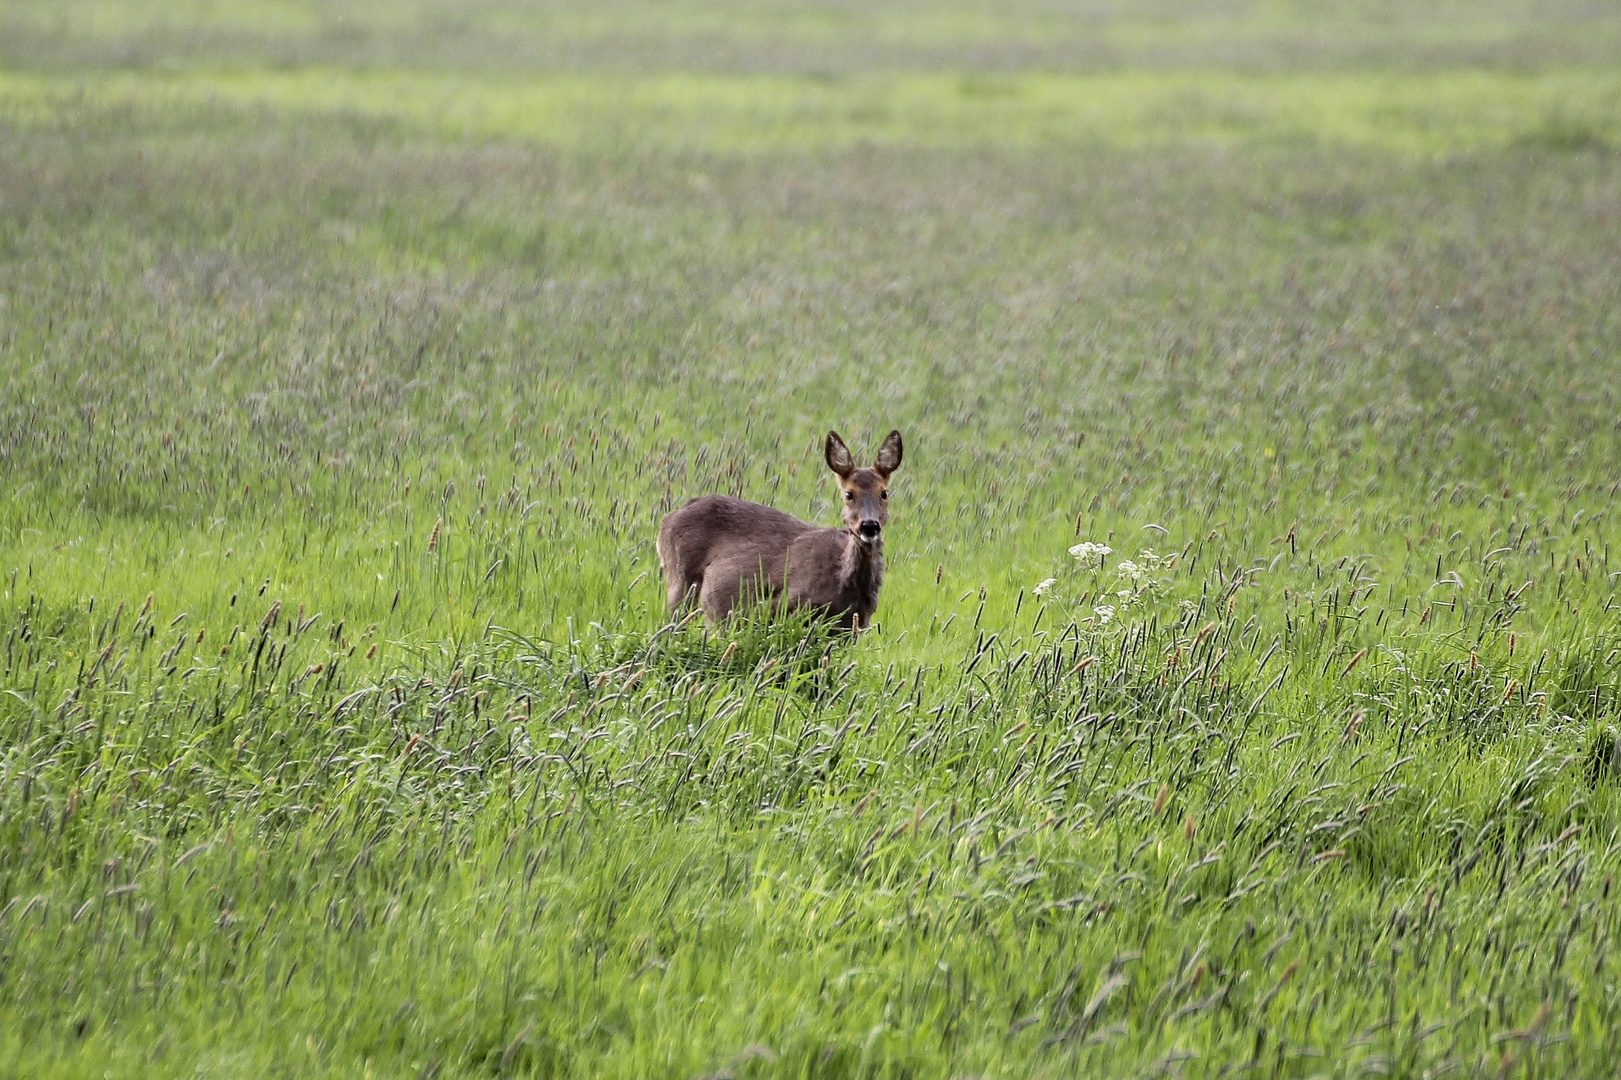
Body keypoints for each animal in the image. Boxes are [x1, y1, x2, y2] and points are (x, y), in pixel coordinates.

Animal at [658, 428, 914, 625]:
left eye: (884, 493)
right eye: (849, 494)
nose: (869, 526)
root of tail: (667, 519)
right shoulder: (786, 606)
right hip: (680, 581)